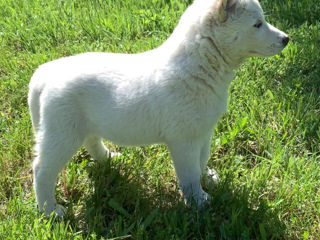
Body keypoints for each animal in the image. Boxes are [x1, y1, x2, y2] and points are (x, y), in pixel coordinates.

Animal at [28, 0, 288, 216]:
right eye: (257, 24)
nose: (286, 39)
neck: (198, 64)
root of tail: (45, 73)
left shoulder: (203, 131)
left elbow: (202, 159)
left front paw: (208, 177)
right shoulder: (184, 141)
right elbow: (190, 174)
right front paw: (199, 201)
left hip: (81, 124)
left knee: (91, 141)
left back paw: (108, 157)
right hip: (62, 133)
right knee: (42, 170)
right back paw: (49, 210)